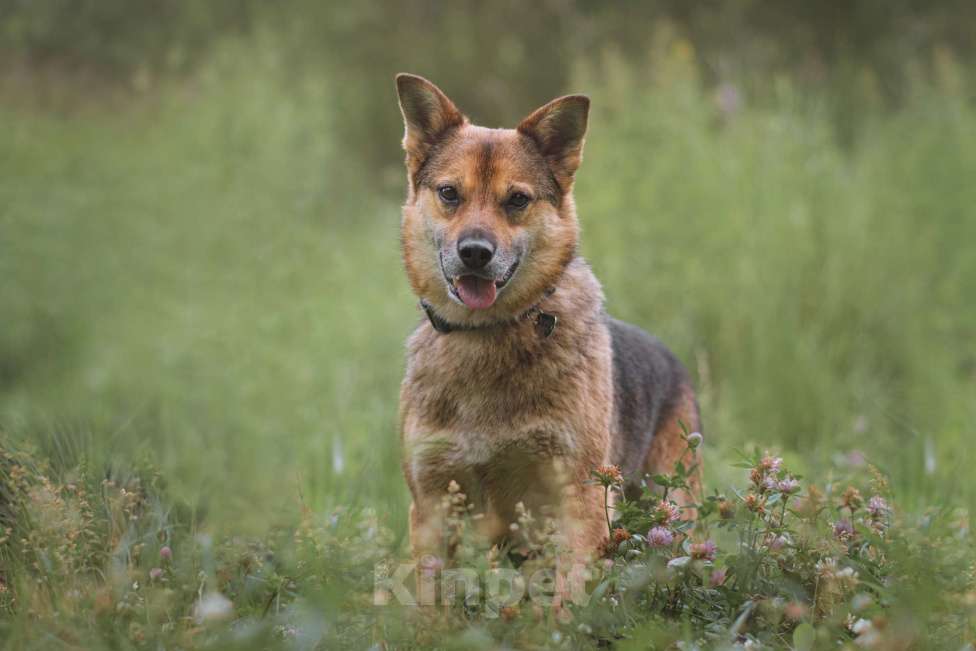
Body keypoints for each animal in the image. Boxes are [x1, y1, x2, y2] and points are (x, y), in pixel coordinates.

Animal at [392, 72, 696, 564]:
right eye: (449, 193)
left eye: (517, 200)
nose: (475, 252)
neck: (486, 337)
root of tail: (674, 360)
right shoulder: (432, 507)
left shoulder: (580, 499)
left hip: (670, 515)